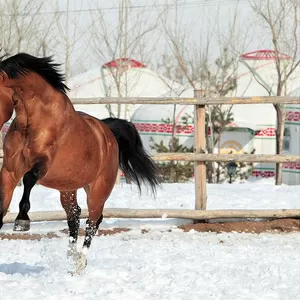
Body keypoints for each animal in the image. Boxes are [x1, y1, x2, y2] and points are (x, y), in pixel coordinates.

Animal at [0, 52, 161, 274]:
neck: (34, 119)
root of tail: (108, 133)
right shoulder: (9, 169)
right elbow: (2, 203)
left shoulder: (43, 162)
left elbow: (29, 178)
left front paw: (22, 220)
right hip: (68, 187)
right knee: (74, 215)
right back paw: (71, 255)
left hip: (98, 189)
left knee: (93, 220)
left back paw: (79, 263)